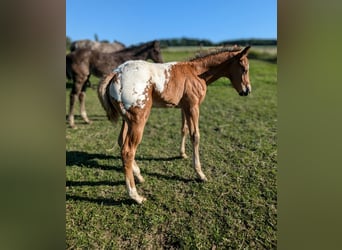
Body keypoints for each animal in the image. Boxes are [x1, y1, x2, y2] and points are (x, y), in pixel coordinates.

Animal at [97, 46, 250, 204]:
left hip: (127, 120)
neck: (197, 72)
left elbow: (184, 129)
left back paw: (139, 176)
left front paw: (182, 154)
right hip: (138, 120)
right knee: (128, 151)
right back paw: (135, 196)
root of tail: (116, 73)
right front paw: (200, 174)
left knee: (121, 141)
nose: (247, 91)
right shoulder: (193, 107)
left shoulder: (184, 107)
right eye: (244, 69)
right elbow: (195, 136)